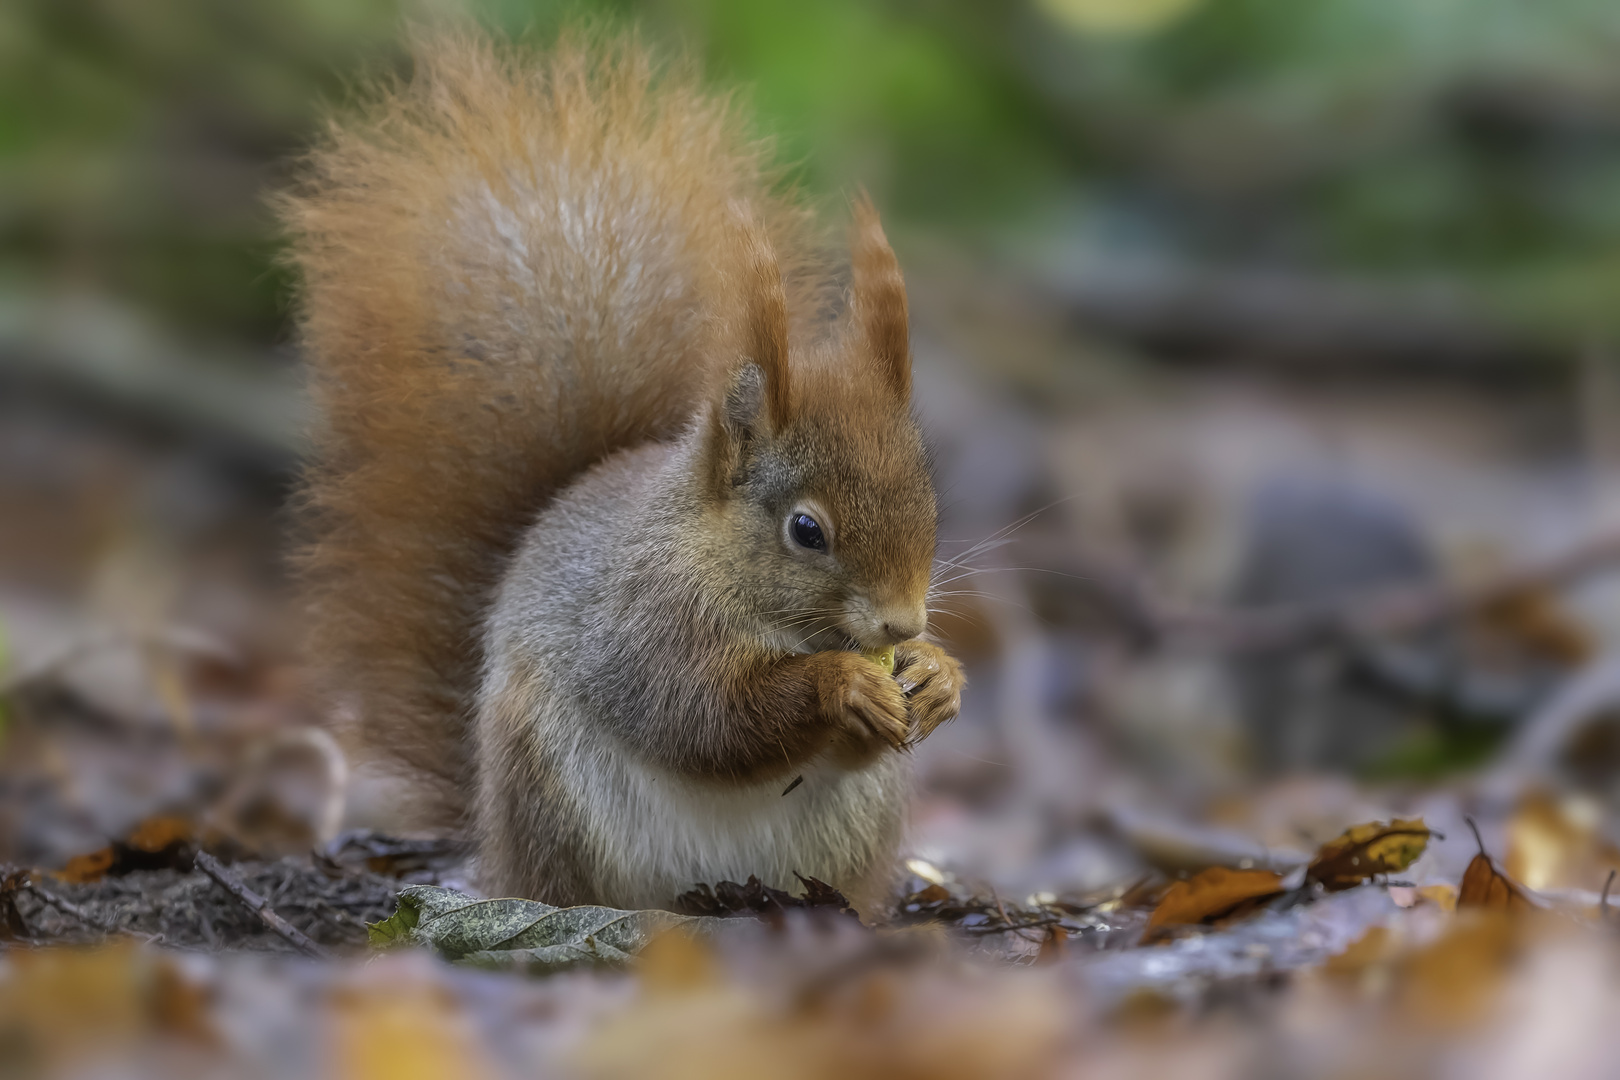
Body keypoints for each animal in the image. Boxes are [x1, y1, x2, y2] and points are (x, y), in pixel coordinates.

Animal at [277, 29, 959, 919]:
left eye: (929, 500)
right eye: (806, 530)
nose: (902, 624)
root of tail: (493, 845)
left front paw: (939, 675)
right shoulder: (641, 624)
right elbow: (702, 719)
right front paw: (840, 683)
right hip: (551, 786)